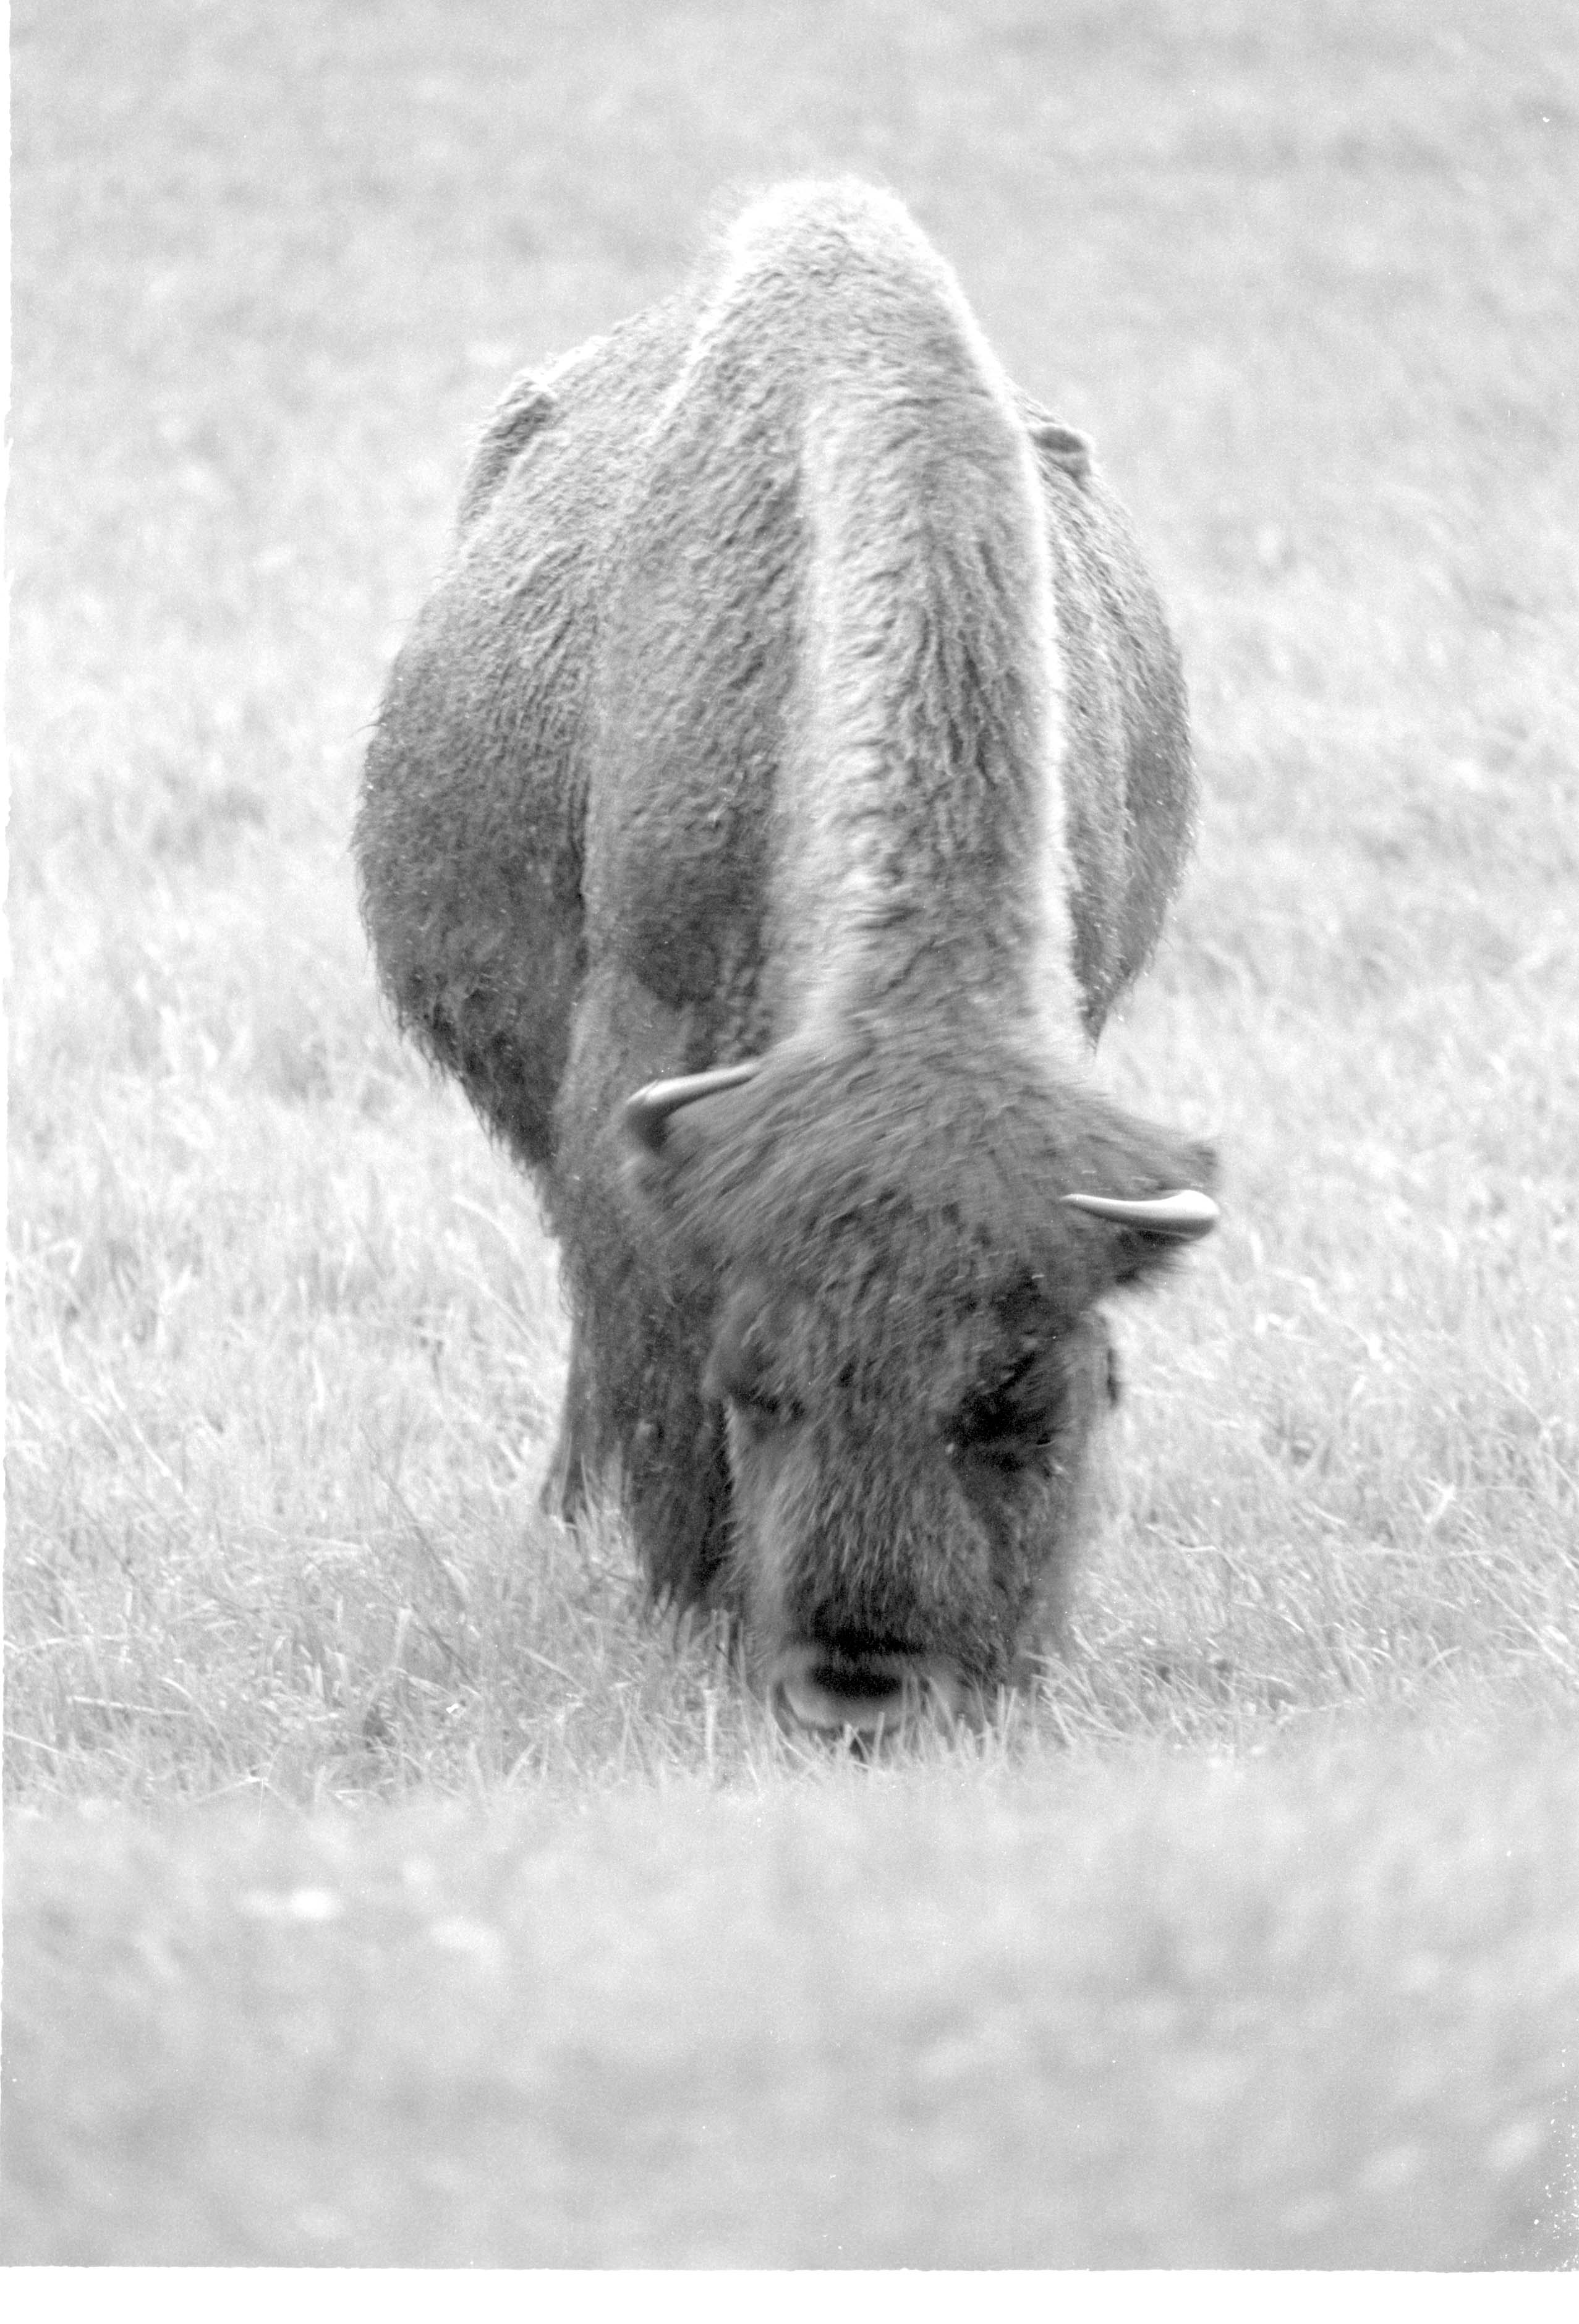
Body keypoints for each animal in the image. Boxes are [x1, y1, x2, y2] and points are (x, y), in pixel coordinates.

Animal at [356, 180, 1219, 1738]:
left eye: (1030, 1406)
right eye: (756, 1389)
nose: (864, 1688)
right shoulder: (638, 1083)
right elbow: (637, 1324)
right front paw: (679, 1597)